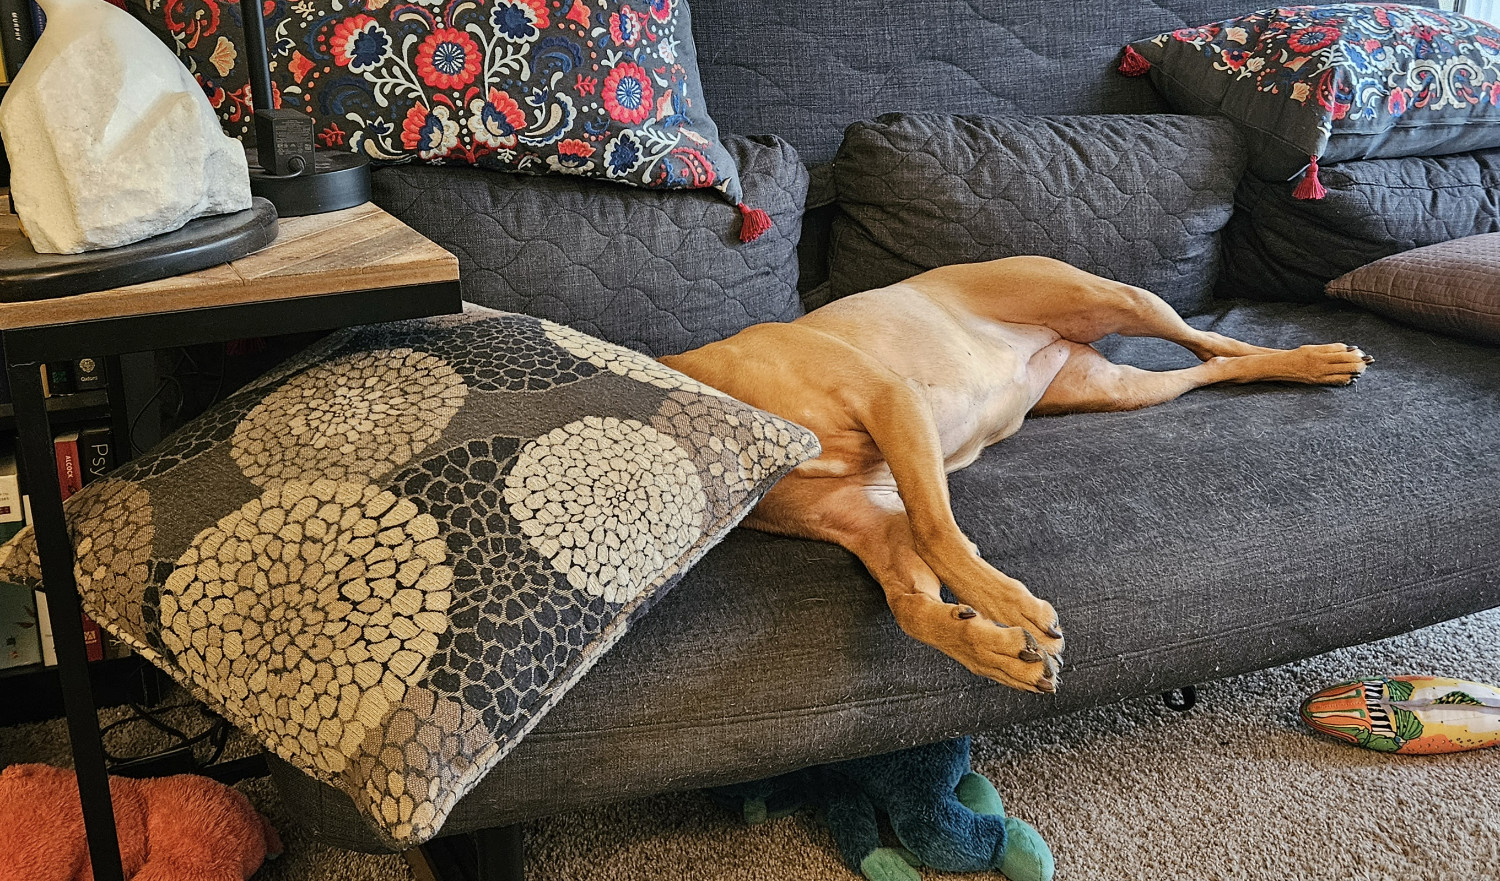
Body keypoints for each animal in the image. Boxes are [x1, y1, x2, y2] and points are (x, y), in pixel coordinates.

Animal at [657, 256, 1374, 696]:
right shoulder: (869, 520)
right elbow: (910, 604)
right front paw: (987, 645)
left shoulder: (890, 401)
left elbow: (938, 530)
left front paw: (1010, 608)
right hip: (1114, 389)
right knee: (1211, 368)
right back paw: (1301, 366)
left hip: (1114, 298)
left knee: (1216, 342)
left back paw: (1315, 358)